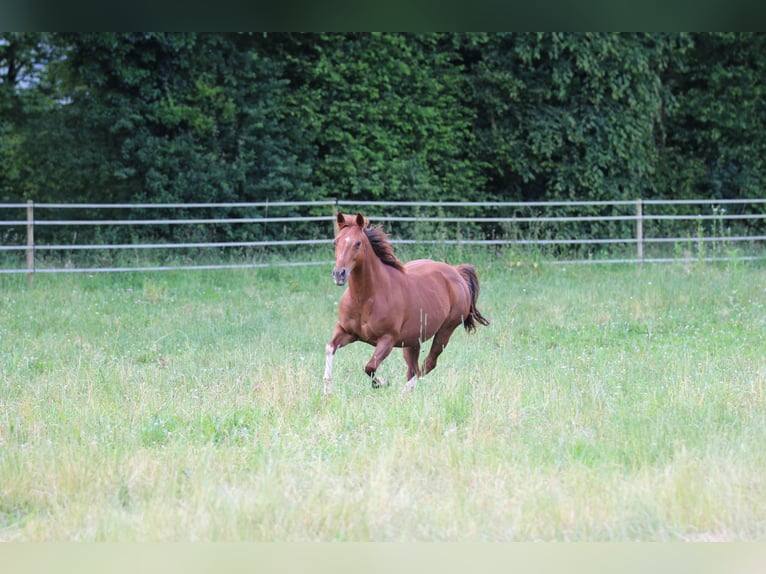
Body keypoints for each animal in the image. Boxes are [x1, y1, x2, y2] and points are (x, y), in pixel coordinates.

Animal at [324, 213, 492, 396]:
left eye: (358, 243)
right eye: (335, 242)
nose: (339, 274)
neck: (366, 298)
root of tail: (456, 272)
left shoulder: (387, 339)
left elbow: (370, 367)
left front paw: (383, 383)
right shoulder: (345, 331)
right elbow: (330, 348)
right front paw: (326, 390)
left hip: (445, 331)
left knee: (426, 365)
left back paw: (404, 391)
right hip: (412, 342)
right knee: (414, 368)